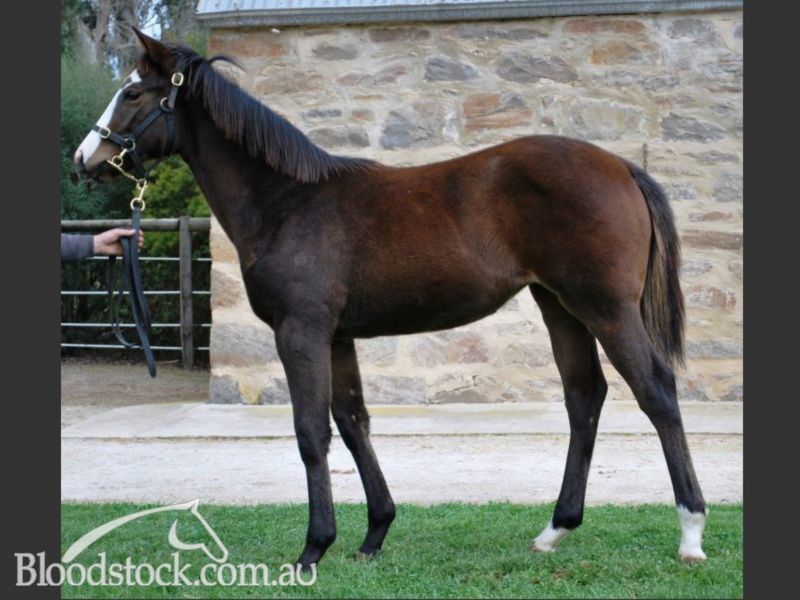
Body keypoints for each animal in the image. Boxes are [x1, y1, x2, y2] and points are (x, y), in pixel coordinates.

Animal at [74, 29, 708, 569]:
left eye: (132, 92)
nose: (85, 160)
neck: (286, 201)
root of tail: (621, 166)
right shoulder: (337, 337)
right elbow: (354, 422)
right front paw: (373, 534)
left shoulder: (300, 331)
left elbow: (311, 433)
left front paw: (313, 548)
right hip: (561, 306)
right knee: (585, 396)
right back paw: (554, 530)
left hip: (606, 308)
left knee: (656, 392)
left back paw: (691, 533)